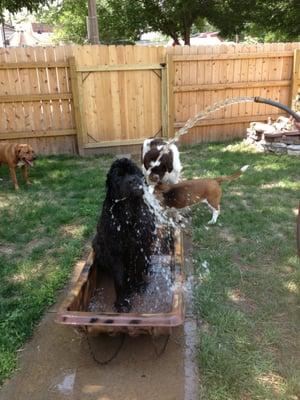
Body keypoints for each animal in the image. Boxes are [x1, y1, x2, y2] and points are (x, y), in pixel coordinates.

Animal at [92, 157, 156, 312]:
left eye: (135, 172)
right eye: (119, 176)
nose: (133, 180)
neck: (128, 211)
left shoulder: (141, 244)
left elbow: (139, 267)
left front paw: (139, 285)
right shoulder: (114, 250)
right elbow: (119, 278)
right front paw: (122, 302)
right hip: (97, 243)